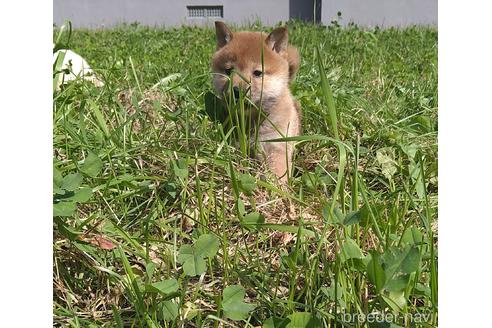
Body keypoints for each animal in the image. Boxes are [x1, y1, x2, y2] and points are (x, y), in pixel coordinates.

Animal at [210, 22, 300, 182]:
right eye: (228, 71)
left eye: (258, 73)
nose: (237, 90)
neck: (252, 119)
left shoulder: (275, 145)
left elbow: (278, 172)